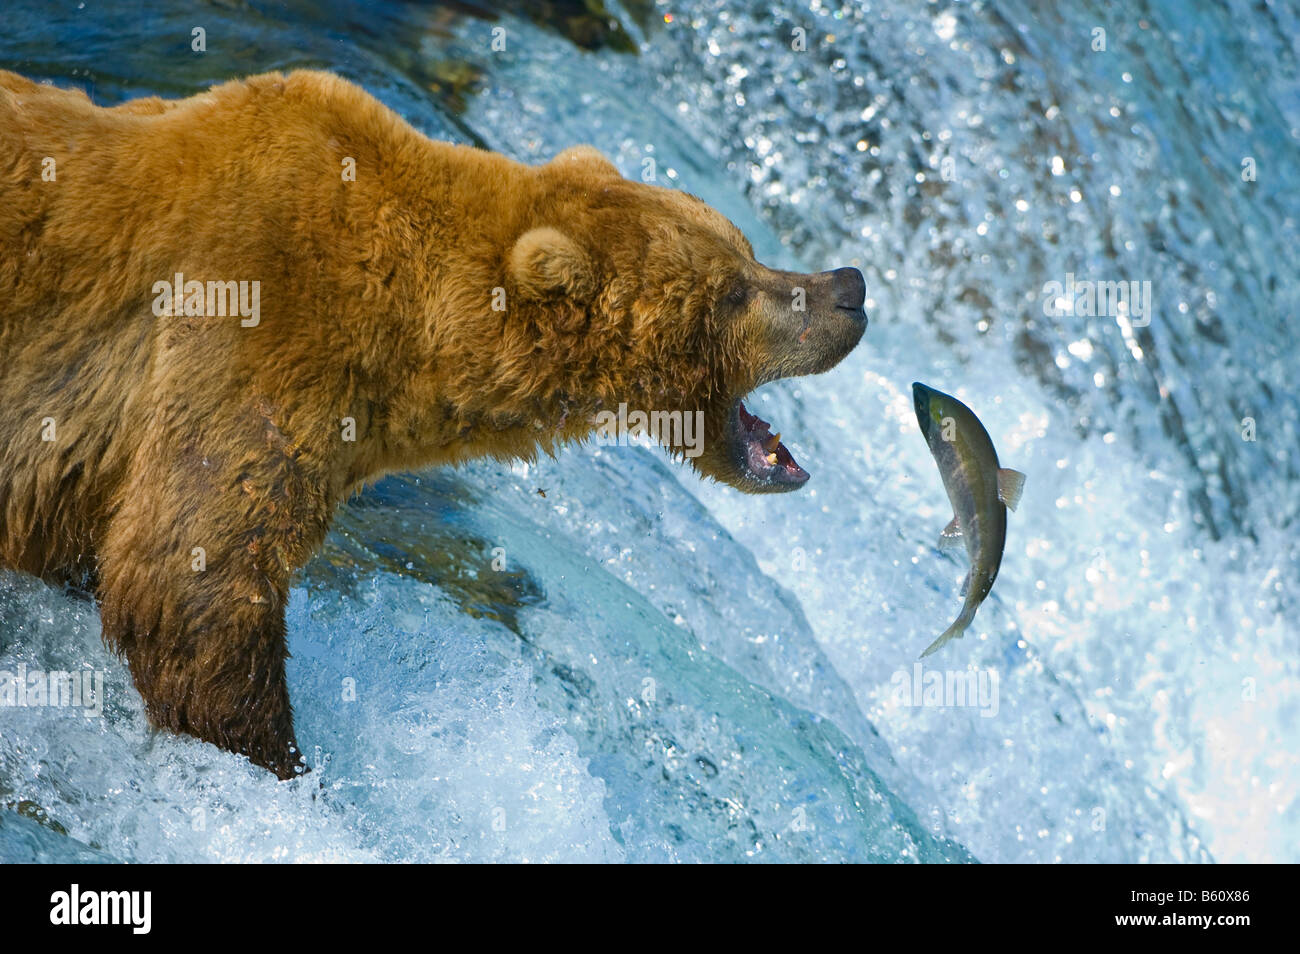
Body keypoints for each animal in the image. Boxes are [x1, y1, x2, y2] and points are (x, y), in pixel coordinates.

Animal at [0, 70, 867, 778]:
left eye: (748, 250)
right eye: (733, 290)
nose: (849, 287)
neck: (409, 331)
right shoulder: (248, 332)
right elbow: (191, 571)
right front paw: (282, 765)